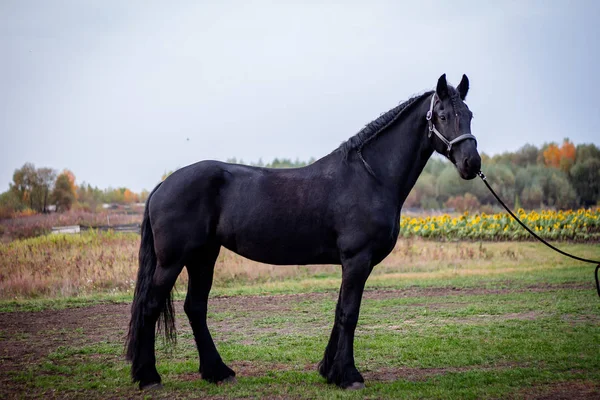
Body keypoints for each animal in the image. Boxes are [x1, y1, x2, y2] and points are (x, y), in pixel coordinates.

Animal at [126, 73, 482, 390]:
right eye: (442, 115)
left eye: (469, 115)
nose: (471, 163)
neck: (370, 176)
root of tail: (162, 186)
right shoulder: (357, 259)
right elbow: (350, 313)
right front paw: (349, 376)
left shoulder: (353, 263)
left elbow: (339, 311)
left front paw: (329, 371)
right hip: (173, 260)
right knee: (150, 306)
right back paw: (149, 377)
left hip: (203, 256)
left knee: (195, 307)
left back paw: (217, 372)